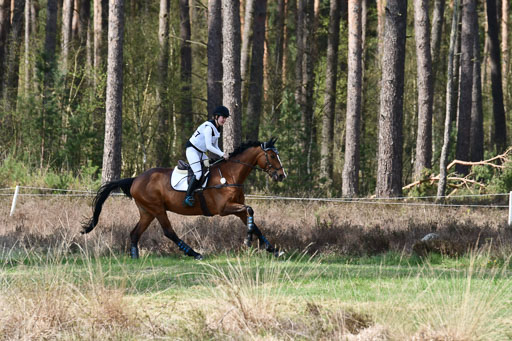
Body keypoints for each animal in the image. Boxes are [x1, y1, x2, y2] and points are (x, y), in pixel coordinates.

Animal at [82, 137, 286, 258]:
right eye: (272, 156)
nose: (282, 175)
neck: (230, 175)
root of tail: (135, 179)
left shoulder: (238, 208)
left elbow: (254, 222)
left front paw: (273, 250)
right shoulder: (224, 209)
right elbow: (251, 211)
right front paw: (248, 241)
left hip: (147, 211)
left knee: (135, 233)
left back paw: (135, 256)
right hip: (157, 209)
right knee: (168, 232)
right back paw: (194, 253)